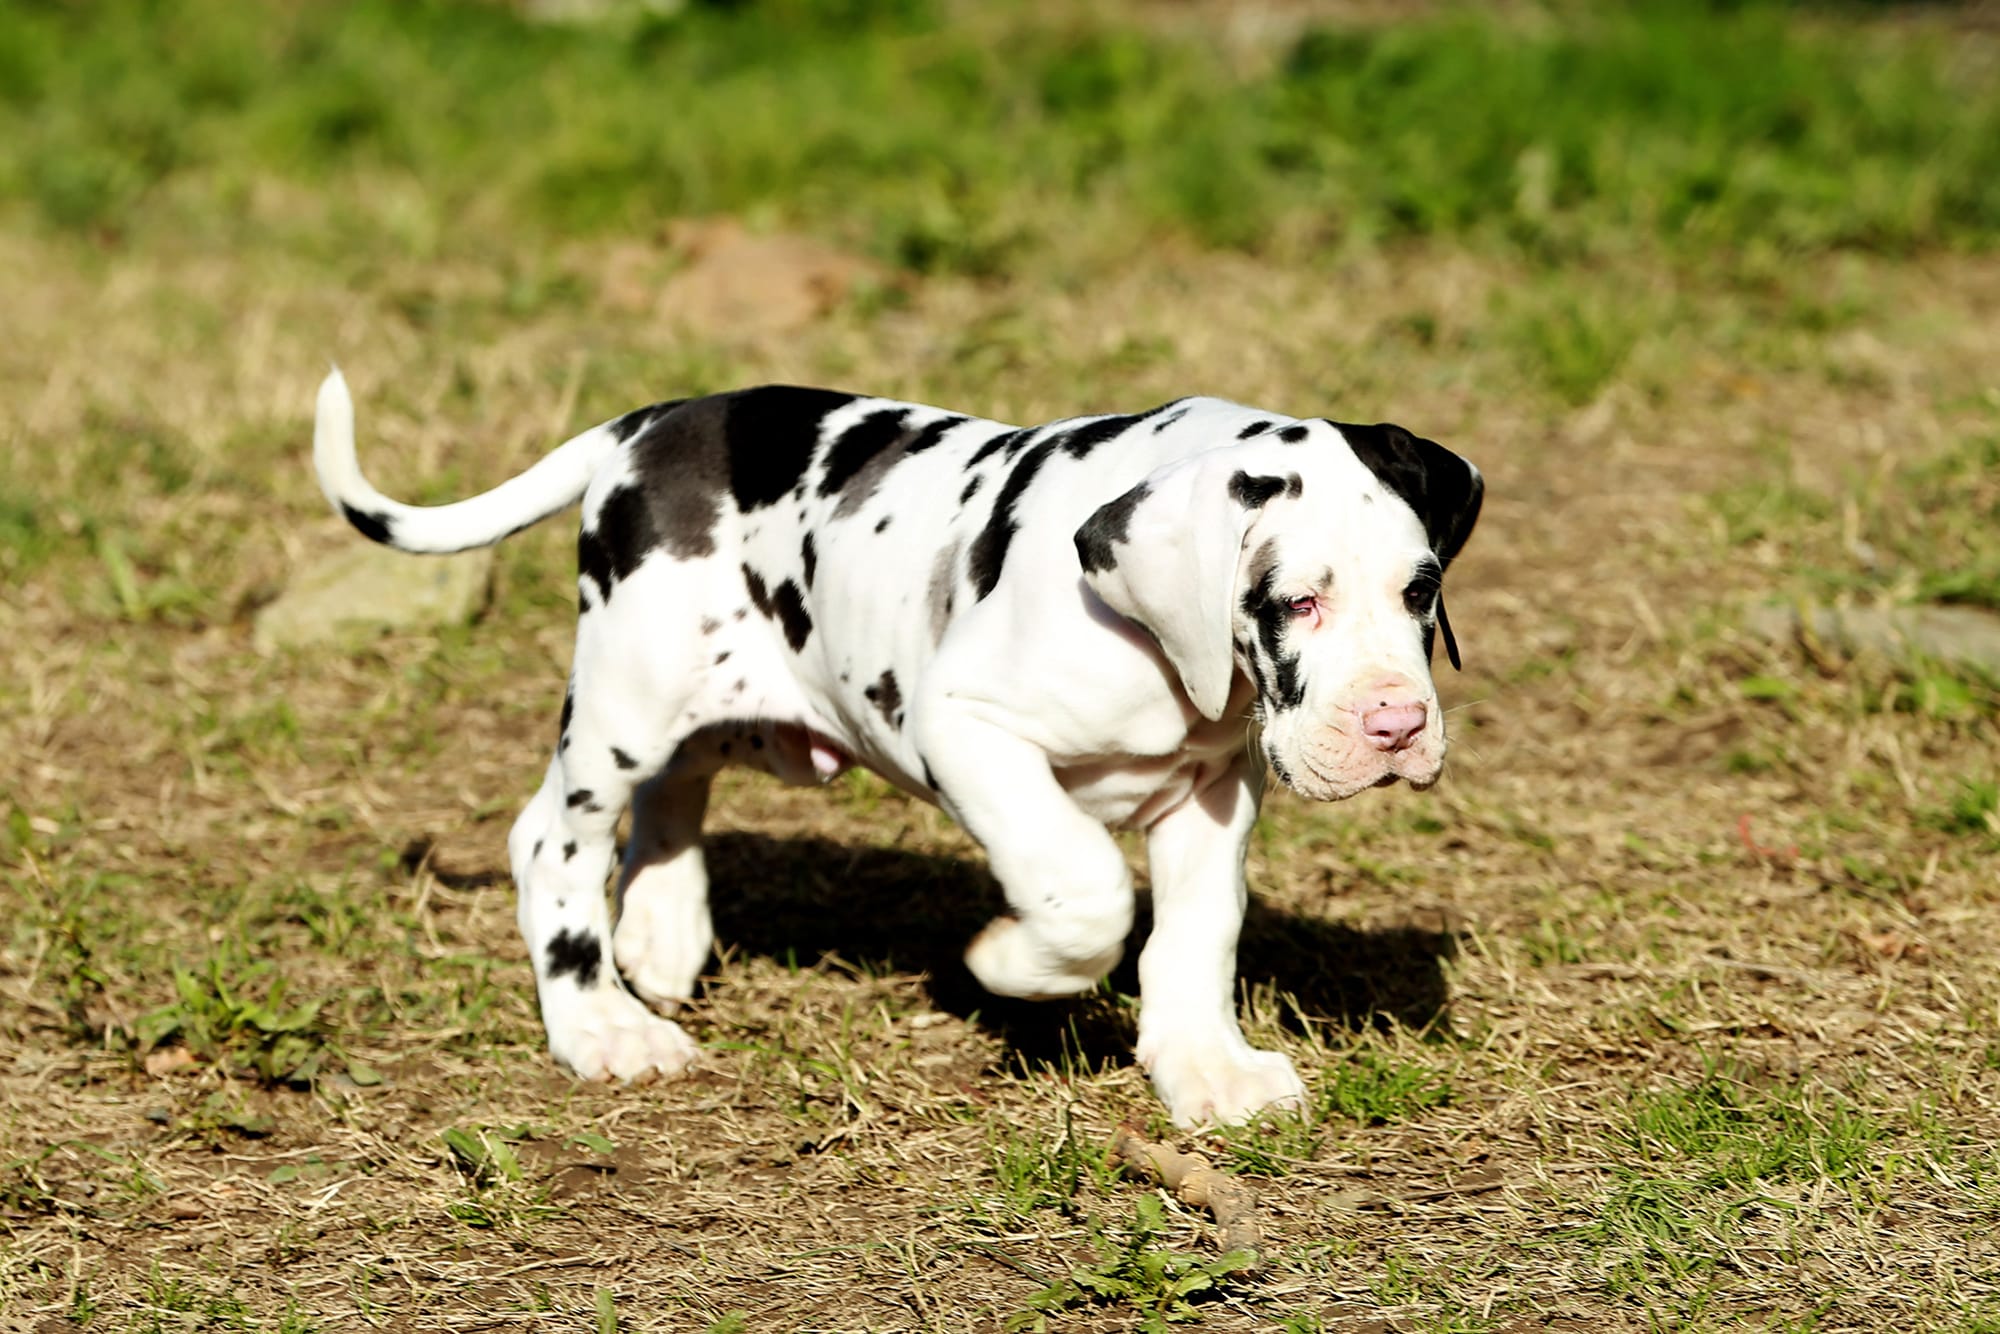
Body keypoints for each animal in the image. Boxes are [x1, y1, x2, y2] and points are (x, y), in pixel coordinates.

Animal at [308, 374, 1472, 1128]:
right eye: (1295, 600)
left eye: (1420, 591)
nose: (1394, 727)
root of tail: (652, 423)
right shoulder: (965, 725)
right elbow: (1085, 887)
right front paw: (1011, 963)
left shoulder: (1210, 791)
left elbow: (1195, 937)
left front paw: (1202, 1069)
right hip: (624, 703)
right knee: (551, 841)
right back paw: (599, 1022)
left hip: (717, 698)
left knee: (679, 785)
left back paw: (661, 927)